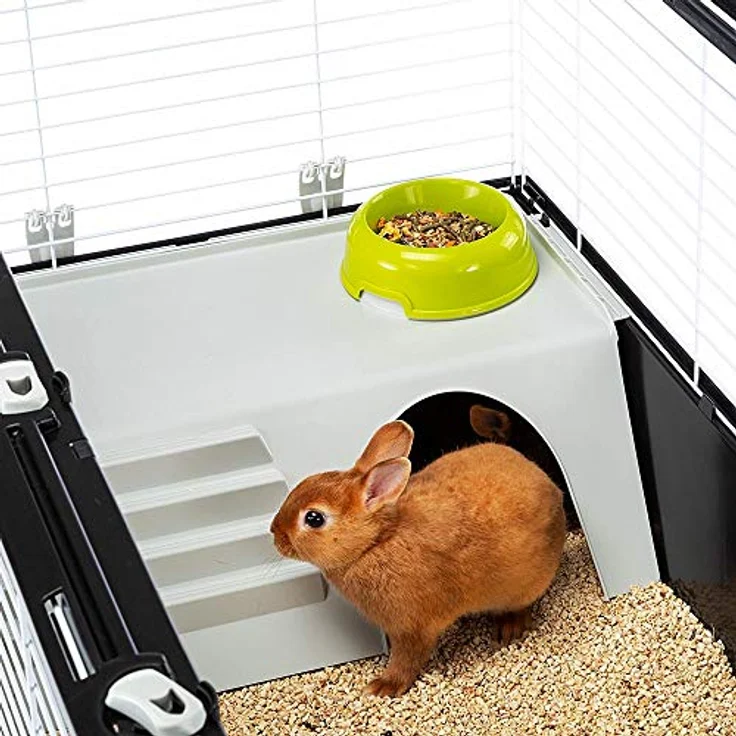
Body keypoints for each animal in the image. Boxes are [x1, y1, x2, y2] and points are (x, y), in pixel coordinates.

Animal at [270, 412, 566, 698]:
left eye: (314, 518)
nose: (274, 533)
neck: (374, 543)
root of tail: (553, 490)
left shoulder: (412, 628)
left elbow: (407, 659)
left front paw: (383, 687)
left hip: (523, 586)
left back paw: (509, 628)